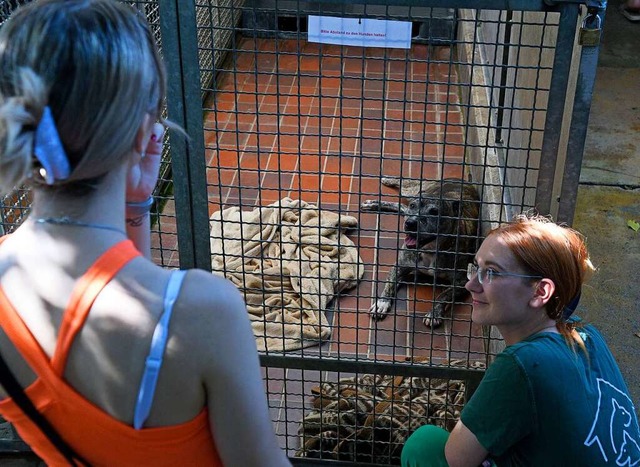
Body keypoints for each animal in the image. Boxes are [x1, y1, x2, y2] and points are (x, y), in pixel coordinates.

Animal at [360, 177, 480, 328]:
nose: (410, 223)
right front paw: (382, 303)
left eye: (434, 212)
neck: (429, 250)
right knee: (402, 194)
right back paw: (383, 189)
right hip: (411, 191)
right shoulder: (399, 267)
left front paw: (434, 313)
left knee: (401, 206)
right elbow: (390, 284)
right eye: (413, 206)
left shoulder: (462, 281)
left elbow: (444, 295)